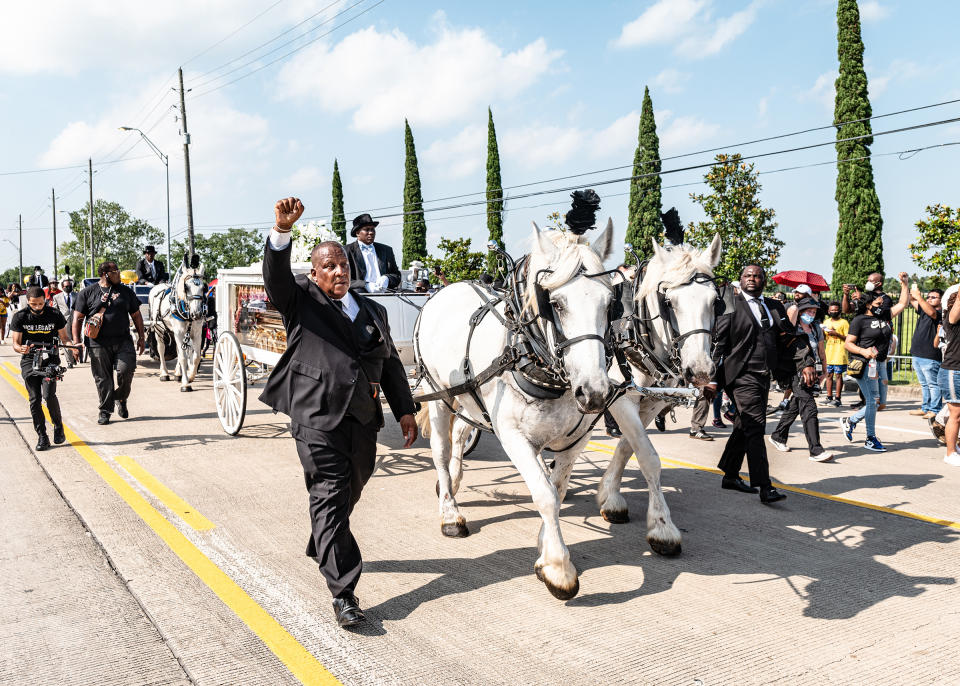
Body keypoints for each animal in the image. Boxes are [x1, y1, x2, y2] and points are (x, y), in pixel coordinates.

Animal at [148, 255, 206, 392]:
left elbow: (195, 357)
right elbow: (183, 357)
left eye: (203, 288)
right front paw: (185, 384)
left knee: (179, 350)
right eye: (186, 287)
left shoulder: (196, 333)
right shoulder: (179, 332)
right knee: (161, 349)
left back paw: (178, 374)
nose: (197, 313)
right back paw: (164, 373)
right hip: (159, 329)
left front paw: (190, 376)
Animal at [418, 223, 616, 600]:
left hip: (471, 397)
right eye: (556, 303)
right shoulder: (512, 435)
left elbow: (557, 490)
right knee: (441, 450)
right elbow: (545, 495)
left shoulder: (576, 441)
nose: (595, 393)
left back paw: (454, 480)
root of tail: (447, 287)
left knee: (461, 434)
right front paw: (558, 569)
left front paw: (545, 549)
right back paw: (449, 511)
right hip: (438, 395)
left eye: (610, 302)